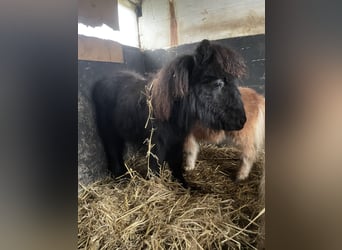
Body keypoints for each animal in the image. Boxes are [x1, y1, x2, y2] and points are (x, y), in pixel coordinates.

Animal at [92, 39, 247, 188]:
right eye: (218, 83)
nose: (242, 120)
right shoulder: (157, 144)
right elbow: (155, 168)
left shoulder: (177, 141)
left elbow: (176, 164)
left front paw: (184, 185)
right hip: (109, 132)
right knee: (113, 151)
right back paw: (121, 176)